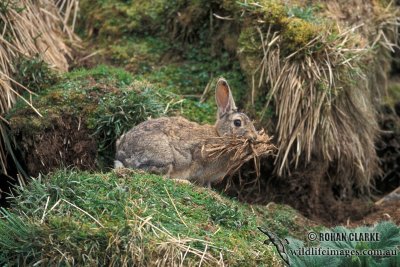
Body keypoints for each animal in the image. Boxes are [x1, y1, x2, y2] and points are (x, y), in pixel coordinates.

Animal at [114, 77, 258, 186]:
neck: (219, 136)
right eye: (238, 123)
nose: (255, 137)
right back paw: (183, 182)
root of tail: (122, 155)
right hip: (164, 157)